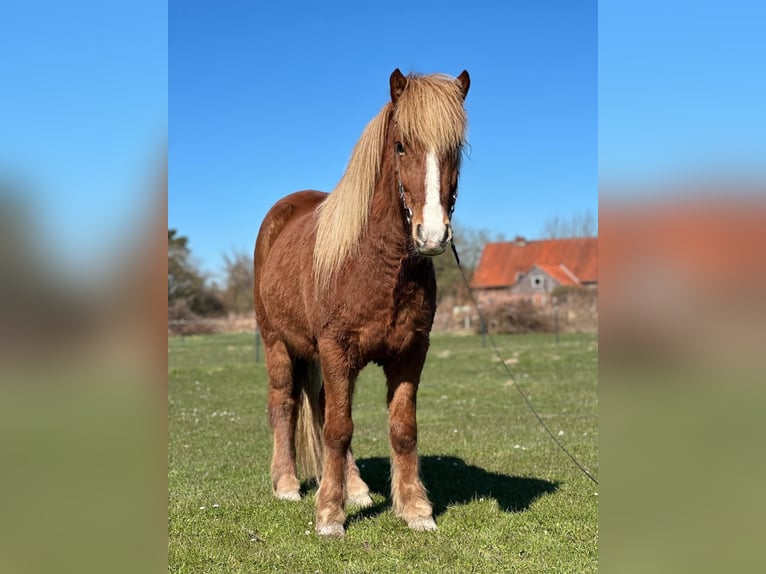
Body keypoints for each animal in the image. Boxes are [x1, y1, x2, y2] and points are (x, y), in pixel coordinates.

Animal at [253, 69, 470, 537]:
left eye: (456, 149)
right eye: (401, 145)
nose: (432, 236)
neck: (375, 263)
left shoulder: (410, 352)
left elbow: (401, 428)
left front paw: (415, 508)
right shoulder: (336, 348)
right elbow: (338, 429)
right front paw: (329, 516)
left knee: (319, 405)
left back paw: (355, 488)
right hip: (278, 344)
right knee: (285, 404)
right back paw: (287, 484)